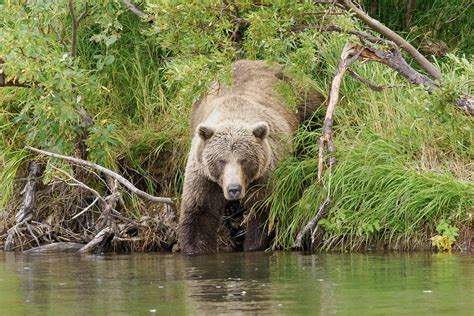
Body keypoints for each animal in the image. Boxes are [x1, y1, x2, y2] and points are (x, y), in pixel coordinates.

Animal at [180, 59, 324, 254]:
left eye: (244, 160)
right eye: (221, 161)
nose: (233, 189)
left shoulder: (265, 173)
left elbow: (263, 212)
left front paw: (253, 245)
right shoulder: (204, 175)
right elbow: (199, 213)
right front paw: (195, 248)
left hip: (303, 101)